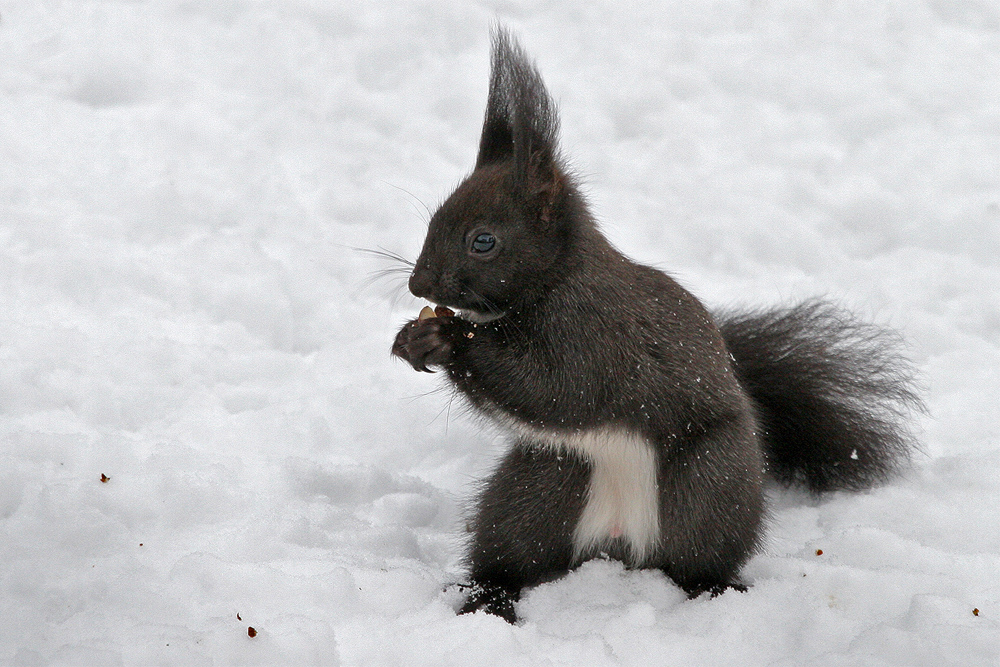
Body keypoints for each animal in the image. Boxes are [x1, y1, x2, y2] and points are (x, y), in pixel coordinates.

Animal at [390, 28, 920, 624]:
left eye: (483, 240)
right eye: (434, 219)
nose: (418, 286)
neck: (557, 281)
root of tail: (620, 542)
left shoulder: (596, 335)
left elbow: (554, 388)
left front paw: (448, 339)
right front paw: (412, 339)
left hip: (707, 486)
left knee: (698, 556)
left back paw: (714, 590)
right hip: (542, 486)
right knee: (512, 551)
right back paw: (488, 595)